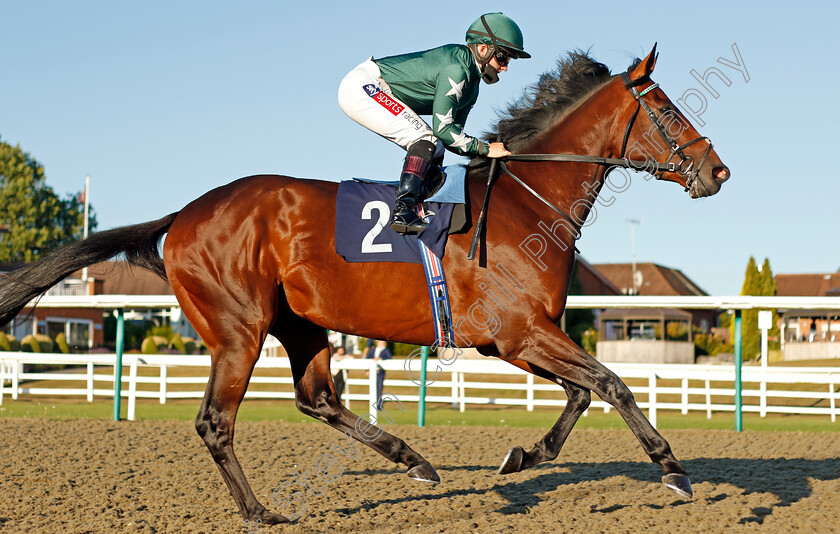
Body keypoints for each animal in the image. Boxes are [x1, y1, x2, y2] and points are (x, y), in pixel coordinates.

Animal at [0, 47, 728, 528]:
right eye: (667, 109)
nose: (718, 170)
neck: (526, 202)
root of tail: (183, 215)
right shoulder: (522, 332)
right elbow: (612, 383)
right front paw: (672, 469)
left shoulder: (511, 341)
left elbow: (582, 391)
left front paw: (524, 455)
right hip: (238, 329)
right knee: (216, 422)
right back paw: (261, 511)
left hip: (301, 323)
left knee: (317, 397)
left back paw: (414, 460)